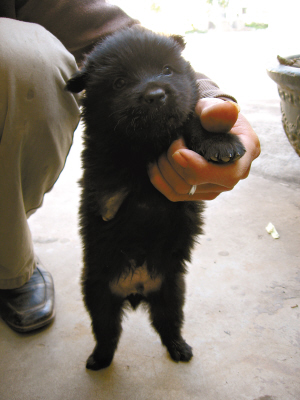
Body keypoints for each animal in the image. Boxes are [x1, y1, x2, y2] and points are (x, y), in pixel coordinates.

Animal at [67, 26, 245, 370]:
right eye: (119, 82)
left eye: (166, 69)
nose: (156, 95)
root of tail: (136, 287)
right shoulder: (108, 147)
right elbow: (116, 155)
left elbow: (189, 120)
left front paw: (220, 141)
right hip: (98, 293)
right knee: (107, 331)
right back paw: (99, 359)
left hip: (172, 292)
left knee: (168, 324)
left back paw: (179, 348)